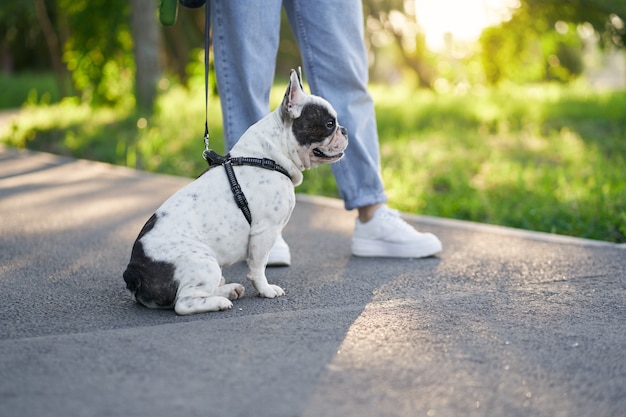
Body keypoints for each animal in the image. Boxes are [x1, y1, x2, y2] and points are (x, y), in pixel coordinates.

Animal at [121, 70, 346, 314]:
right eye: (329, 124)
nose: (344, 130)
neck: (269, 156)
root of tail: (133, 272)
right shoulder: (264, 231)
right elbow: (258, 267)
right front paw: (266, 290)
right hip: (203, 262)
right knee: (184, 303)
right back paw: (220, 301)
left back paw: (229, 289)